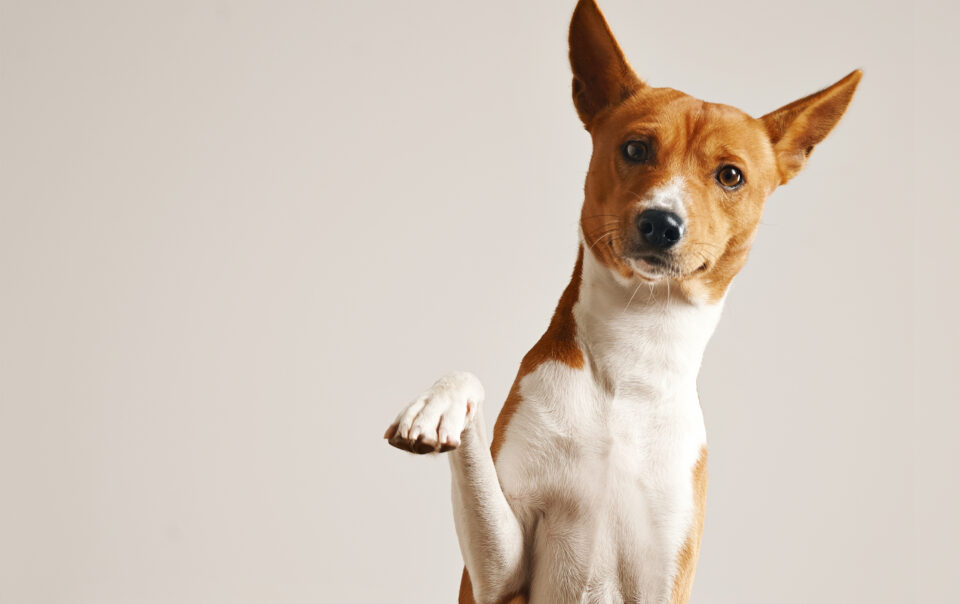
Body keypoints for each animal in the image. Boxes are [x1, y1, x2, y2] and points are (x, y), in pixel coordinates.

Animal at [382, 2, 864, 600]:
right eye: (636, 149)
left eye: (730, 175)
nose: (661, 222)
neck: (635, 356)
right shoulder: (498, 576)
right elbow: (466, 384)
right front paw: (438, 407)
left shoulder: (667, 574)